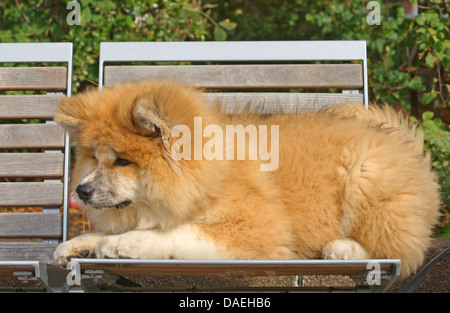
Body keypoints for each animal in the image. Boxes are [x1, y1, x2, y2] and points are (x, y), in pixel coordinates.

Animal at [52, 80, 440, 276]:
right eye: (94, 158)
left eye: (123, 161)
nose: (82, 191)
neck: (210, 176)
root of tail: (404, 142)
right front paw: (80, 244)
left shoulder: (256, 228)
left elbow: (172, 233)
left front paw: (123, 243)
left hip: (365, 178)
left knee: (401, 250)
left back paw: (342, 248)